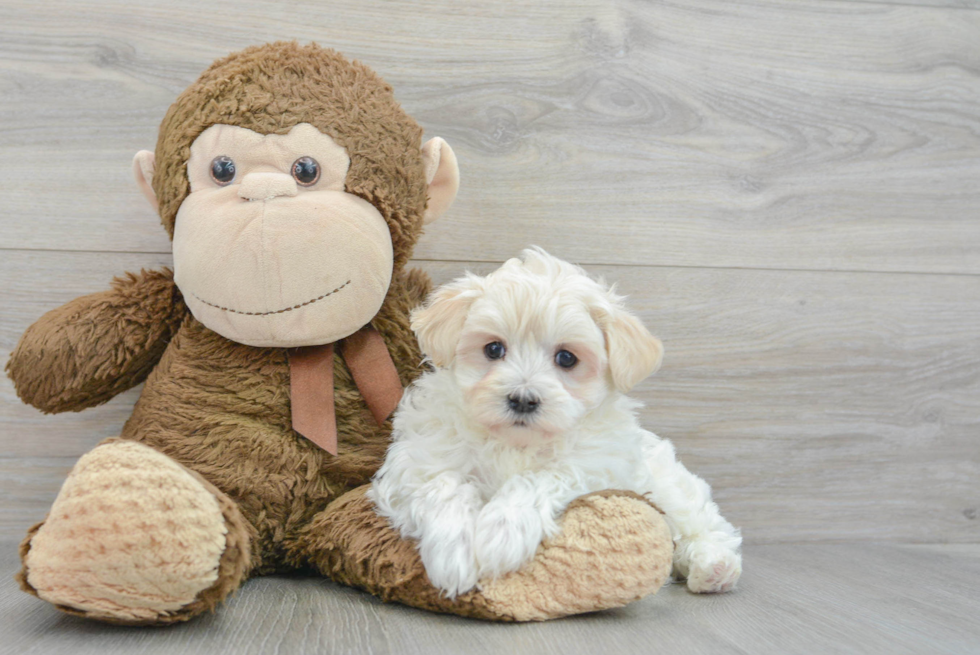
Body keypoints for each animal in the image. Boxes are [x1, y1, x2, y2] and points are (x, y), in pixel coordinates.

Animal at [370, 250, 744, 600]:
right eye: (493, 349)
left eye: (566, 358)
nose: (522, 399)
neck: (513, 443)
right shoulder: (418, 460)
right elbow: (444, 484)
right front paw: (453, 552)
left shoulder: (596, 464)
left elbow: (540, 478)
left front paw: (501, 532)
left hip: (668, 485)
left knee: (703, 523)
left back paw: (715, 566)